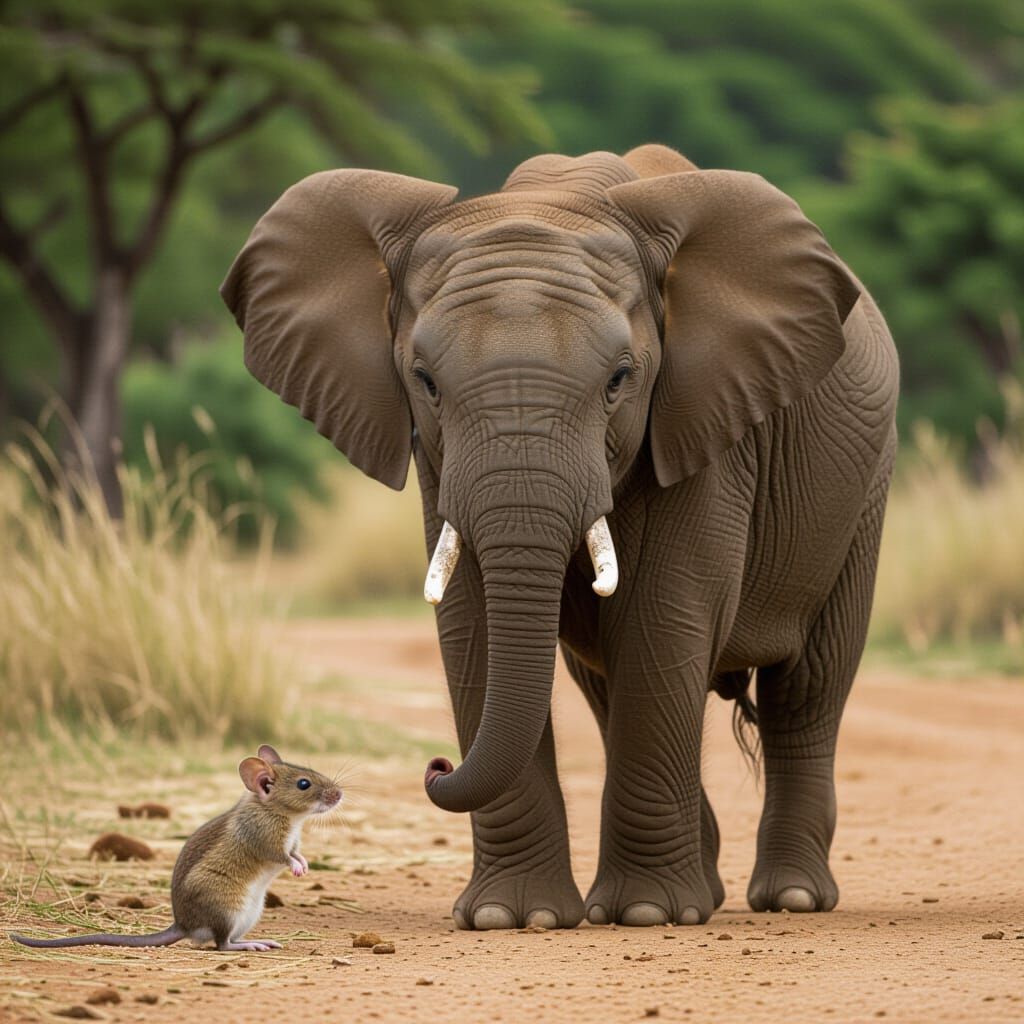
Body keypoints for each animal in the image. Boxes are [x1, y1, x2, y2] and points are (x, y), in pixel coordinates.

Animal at [222, 144, 898, 930]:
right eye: (424, 381)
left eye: (620, 379)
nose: (437, 766)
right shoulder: (437, 459)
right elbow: (474, 625)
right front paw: (510, 919)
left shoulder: (702, 423)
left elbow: (661, 619)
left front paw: (646, 914)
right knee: (607, 687)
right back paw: (709, 891)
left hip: (865, 487)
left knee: (808, 685)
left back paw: (790, 898)